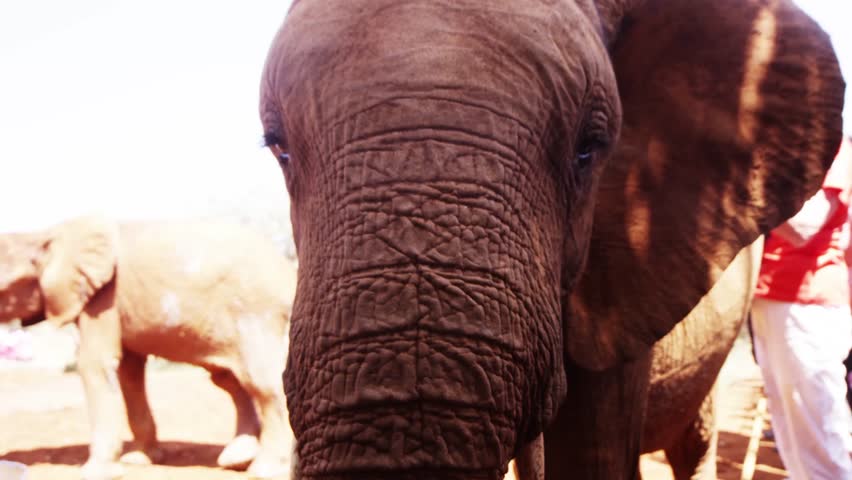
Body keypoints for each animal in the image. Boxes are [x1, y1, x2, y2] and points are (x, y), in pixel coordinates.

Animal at [0, 217, 297, 480]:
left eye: (4, 291)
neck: (44, 233)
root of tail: (287, 273)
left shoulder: (103, 298)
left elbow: (94, 365)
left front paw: (97, 473)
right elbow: (129, 372)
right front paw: (138, 461)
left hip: (256, 312)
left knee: (261, 383)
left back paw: (265, 470)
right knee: (228, 380)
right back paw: (237, 459)